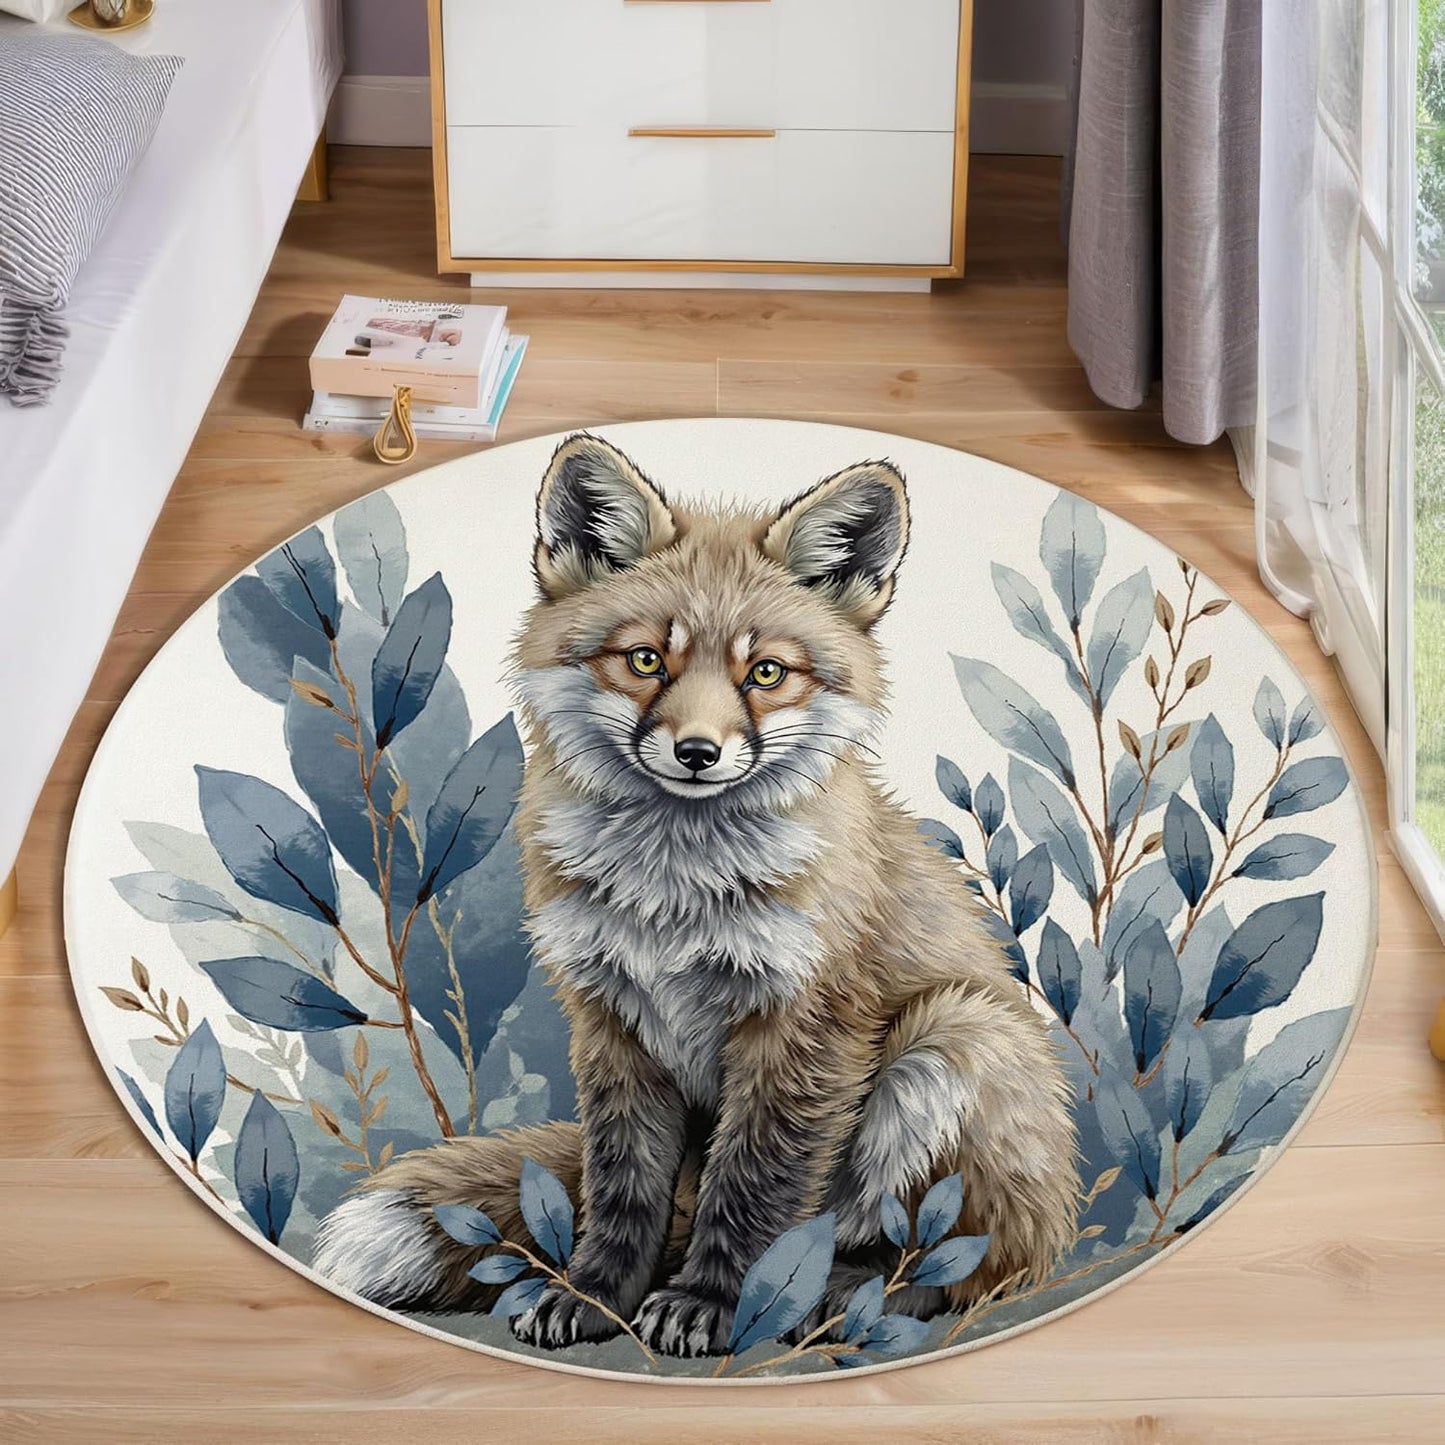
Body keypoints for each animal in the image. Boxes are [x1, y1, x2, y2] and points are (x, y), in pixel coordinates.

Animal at [312, 433, 1080, 1357]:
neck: (672, 896)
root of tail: (1062, 1212)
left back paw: (847, 1297)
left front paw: (713, 1304)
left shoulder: (801, 1027)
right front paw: (594, 1296)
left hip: (955, 1039)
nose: (698, 752)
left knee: (967, 1265)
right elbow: (620, 1190)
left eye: (766, 672)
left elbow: (752, 1190)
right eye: (647, 659)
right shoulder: (614, 1017)